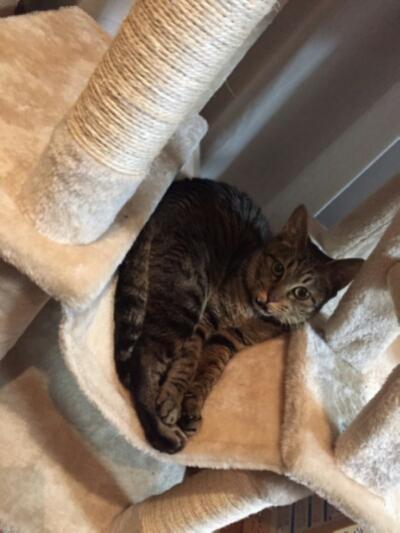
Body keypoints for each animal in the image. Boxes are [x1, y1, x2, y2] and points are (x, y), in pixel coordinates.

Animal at [114, 178, 363, 454]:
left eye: (301, 292)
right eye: (278, 268)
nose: (268, 299)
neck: (250, 312)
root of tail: (169, 195)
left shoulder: (229, 340)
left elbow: (209, 373)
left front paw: (191, 406)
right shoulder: (204, 321)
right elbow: (188, 363)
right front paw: (173, 399)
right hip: (187, 295)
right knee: (144, 357)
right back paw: (162, 433)